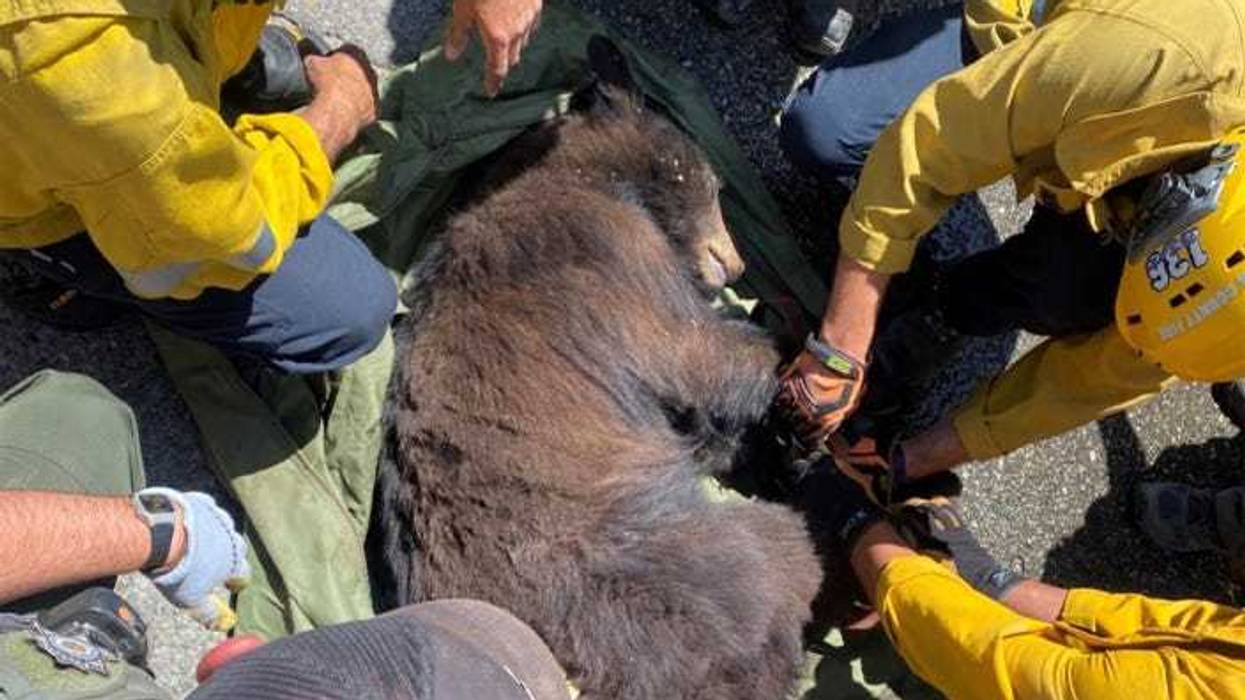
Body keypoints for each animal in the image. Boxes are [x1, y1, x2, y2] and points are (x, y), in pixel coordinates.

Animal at [370, 39, 823, 700]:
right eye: (714, 185)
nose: (735, 264)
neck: (586, 173)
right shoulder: (613, 253)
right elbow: (697, 354)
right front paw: (787, 357)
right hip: (689, 573)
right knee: (782, 555)